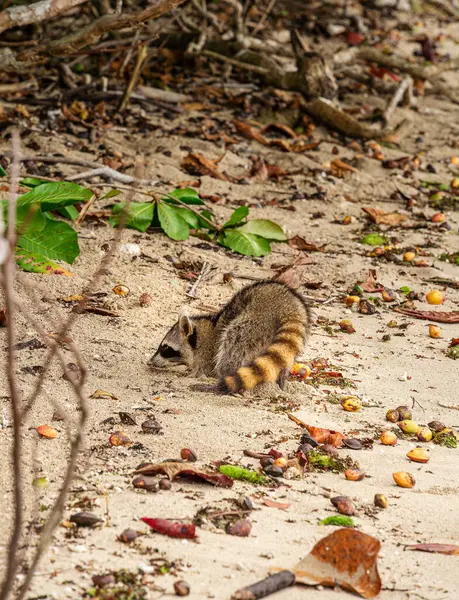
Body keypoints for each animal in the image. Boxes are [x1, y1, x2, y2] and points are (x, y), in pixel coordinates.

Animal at [149, 282, 310, 394]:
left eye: (165, 347)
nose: (150, 362)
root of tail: (289, 307)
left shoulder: (206, 353)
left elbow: (205, 368)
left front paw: (192, 374)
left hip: (254, 323)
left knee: (232, 343)